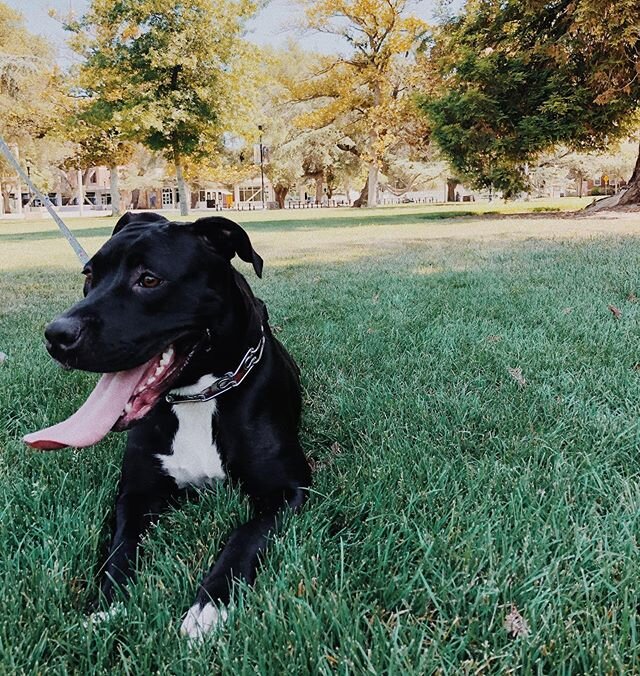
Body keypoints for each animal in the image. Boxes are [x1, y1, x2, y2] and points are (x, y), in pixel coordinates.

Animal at [25, 213, 312, 640]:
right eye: (89, 275)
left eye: (149, 280)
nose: (56, 335)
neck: (199, 396)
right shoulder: (136, 494)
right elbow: (120, 548)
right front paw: (107, 604)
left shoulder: (288, 490)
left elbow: (244, 536)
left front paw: (209, 605)